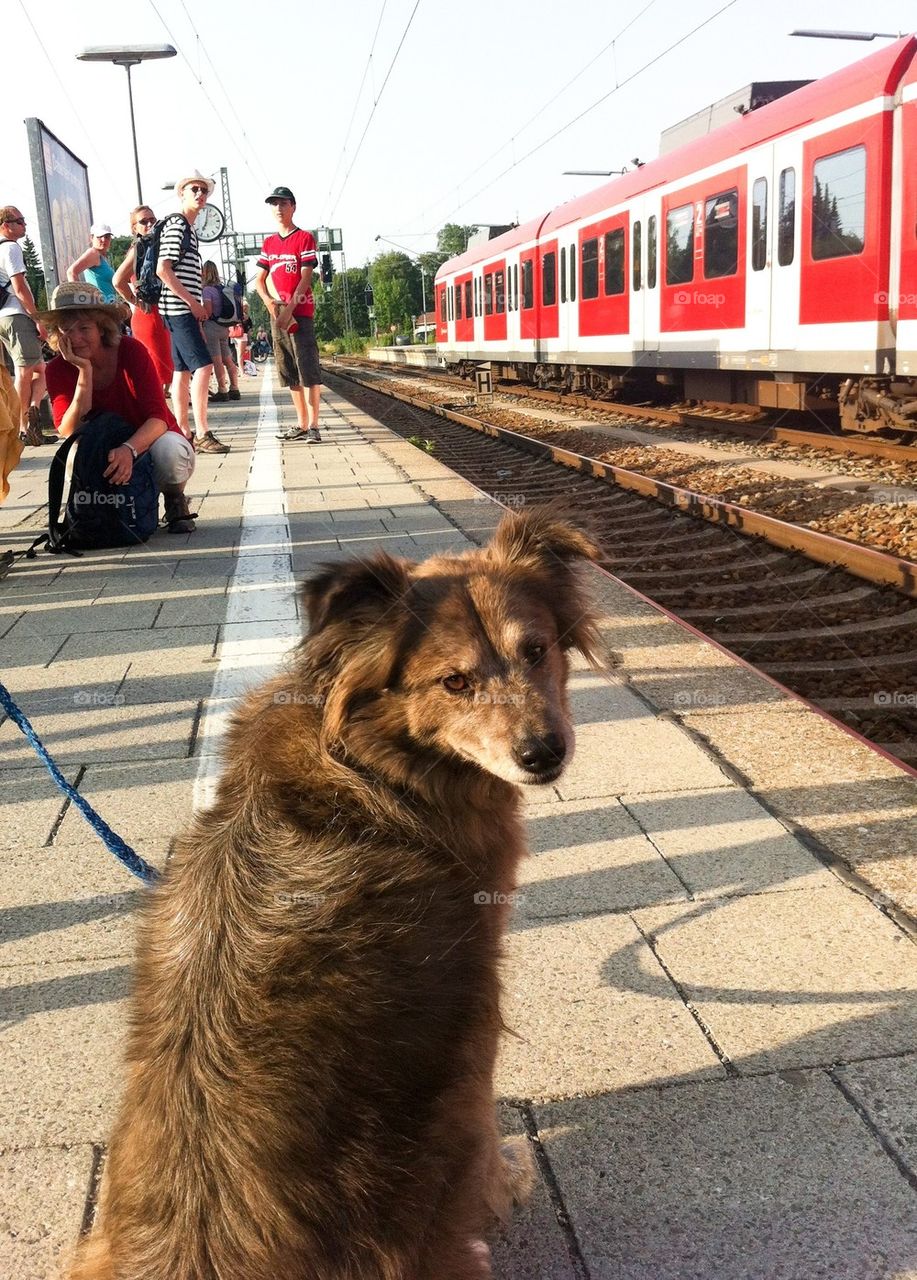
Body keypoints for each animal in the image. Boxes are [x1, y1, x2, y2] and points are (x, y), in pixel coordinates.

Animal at [69, 504, 601, 1274]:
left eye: (535, 650)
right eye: (453, 683)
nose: (543, 754)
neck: (371, 761)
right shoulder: (473, 1029)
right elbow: (483, 1124)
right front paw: (510, 1177)